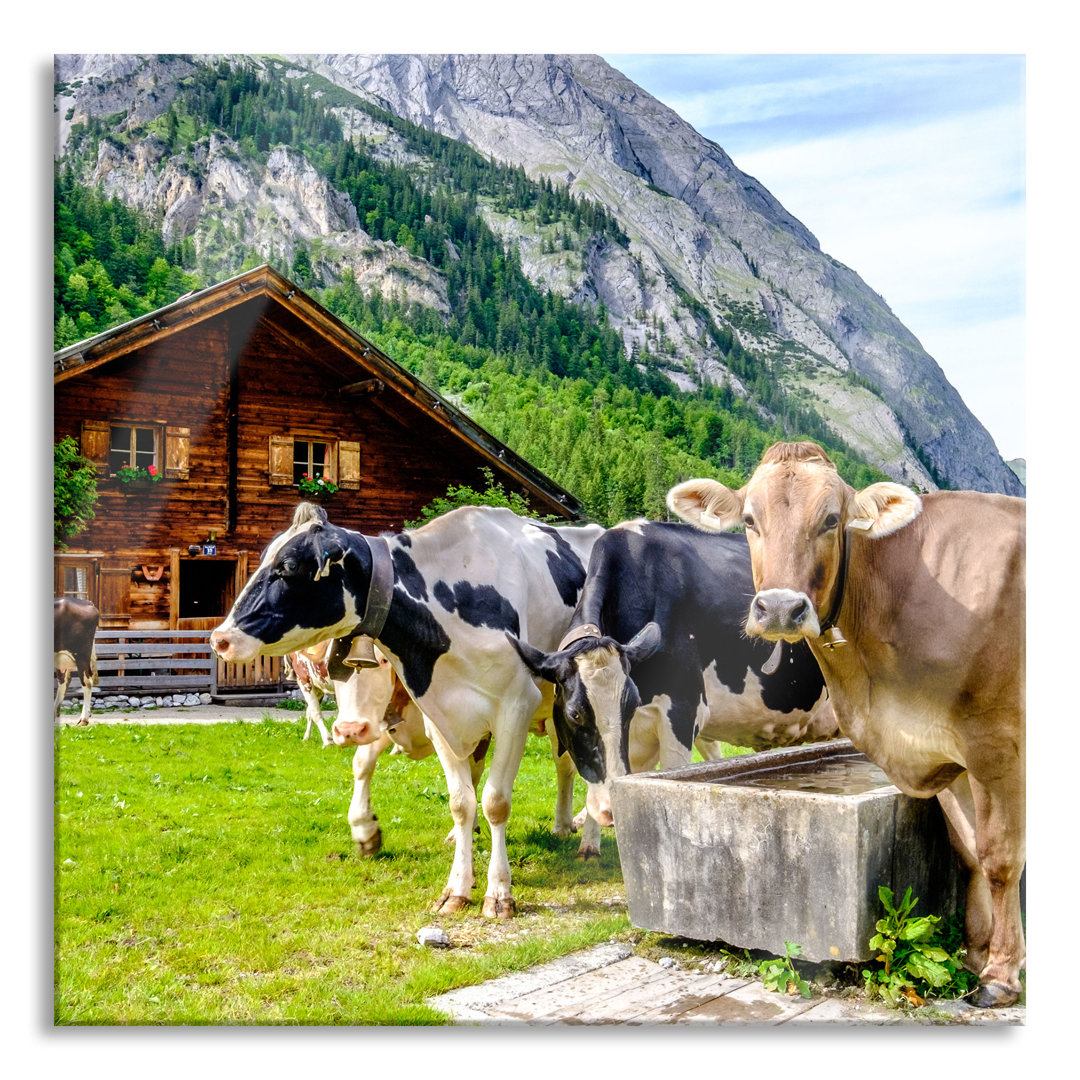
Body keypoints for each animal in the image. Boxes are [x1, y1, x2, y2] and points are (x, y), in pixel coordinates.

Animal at [210, 501, 609, 915]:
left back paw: (589, 841)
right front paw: (456, 886)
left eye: (287, 566)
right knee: (565, 766)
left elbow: (495, 802)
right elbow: (461, 801)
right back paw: (563, 825)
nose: (219, 639)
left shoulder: (515, 706)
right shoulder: (440, 716)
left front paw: (499, 893)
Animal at [665, 434, 1028, 1006]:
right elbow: (968, 852)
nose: (781, 609)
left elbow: (1000, 857)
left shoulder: (995, 744)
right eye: (749, 519)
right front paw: (975, 955)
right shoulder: (941, 750)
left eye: (831, 519)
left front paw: (1001, 975)